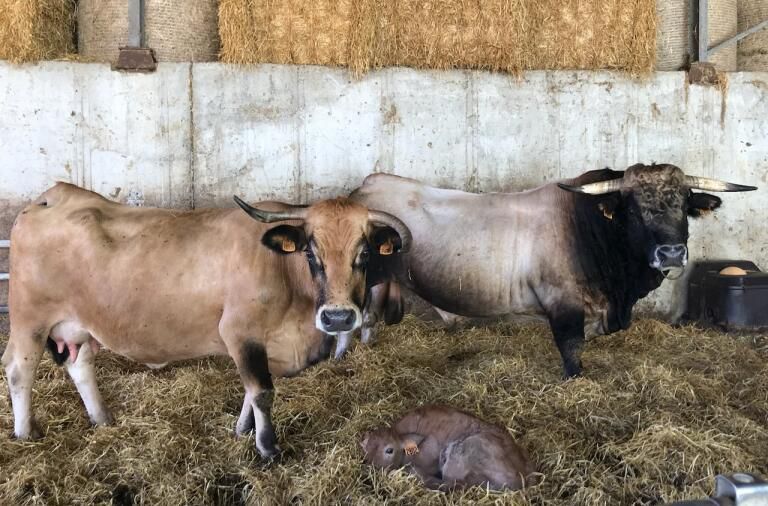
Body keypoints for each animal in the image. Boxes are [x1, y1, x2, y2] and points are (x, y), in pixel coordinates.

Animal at [3, 183, 412, 458]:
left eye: (365, 253)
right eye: (311, 253)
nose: (339, 316)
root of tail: (52, 195)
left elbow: (251, 390)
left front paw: (242, 429)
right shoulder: (239, 332)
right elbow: (262, 390)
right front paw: (267, 447)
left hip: (79, 326)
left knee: (80, 365)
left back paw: (101, 419)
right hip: (29, 320)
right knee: (19, 371)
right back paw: (25, 434)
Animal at [364, 404, 536, 490]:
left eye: (389, 450)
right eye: (366, 453)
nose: (373, 472)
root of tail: (524, 476)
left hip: (460, 453)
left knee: (450, 485)